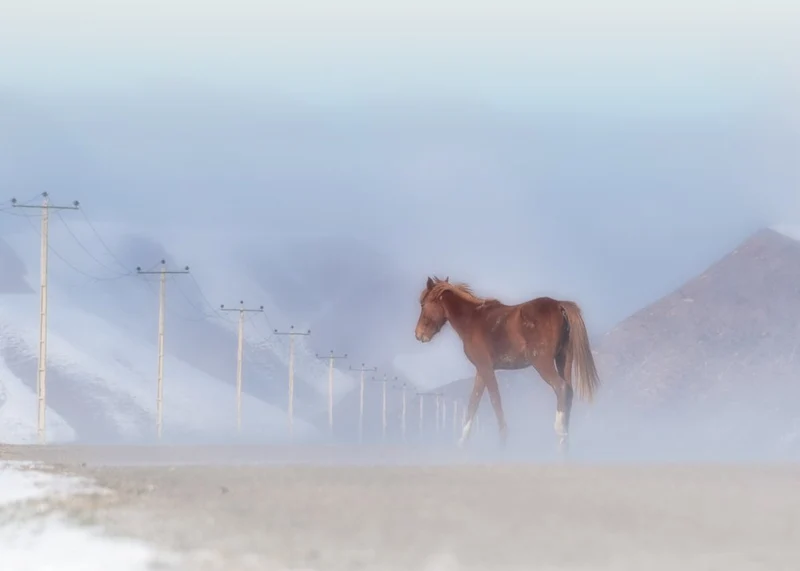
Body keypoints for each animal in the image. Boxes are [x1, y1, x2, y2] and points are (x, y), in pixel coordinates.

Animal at [414, 276, 600, 454]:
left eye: (423, 304)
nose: (418, 334)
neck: (473, 320)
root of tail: (559, 305)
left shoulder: (486, 368)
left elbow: (495, 400)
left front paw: (503, 440)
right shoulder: (481, 371)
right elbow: (473, 403)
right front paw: (462, 442)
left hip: (542, 362)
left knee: (560, 387)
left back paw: (560, 433)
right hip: (564, 360)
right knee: (569, 391)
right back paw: (566, 438)